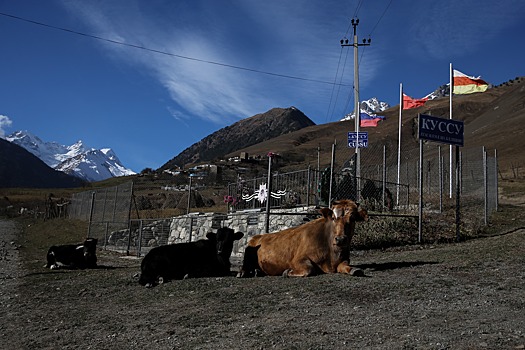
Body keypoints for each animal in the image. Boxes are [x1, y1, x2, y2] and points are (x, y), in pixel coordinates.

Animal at [238, 200, 366, 278]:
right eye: (333, 218)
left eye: (353, 219)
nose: (340, 239)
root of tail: (260, 235)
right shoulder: (297, 259)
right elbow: (309, 269)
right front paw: (287, 272)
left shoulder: (344, 259)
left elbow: (345, 266)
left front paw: (354, 269)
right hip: (248, 251)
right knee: (245, 266)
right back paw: (243, 273)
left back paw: (257, 271)